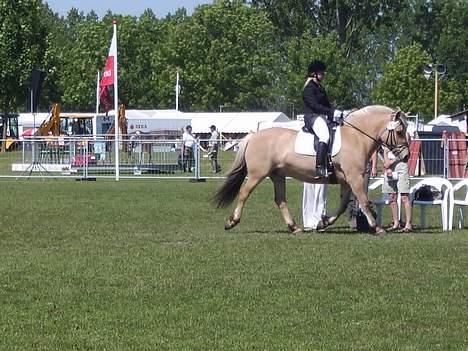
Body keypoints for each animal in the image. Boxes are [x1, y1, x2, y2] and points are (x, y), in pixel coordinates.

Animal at [213, 106, 410, 235]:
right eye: (400, 131)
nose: (407, 157)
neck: (356, 137)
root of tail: (253, 136)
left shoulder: (347, 180)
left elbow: (343, 205)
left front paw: (323, 223)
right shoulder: (354, 177)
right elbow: (363, 201)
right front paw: (377, 228)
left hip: (277, 176)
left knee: (280, 200)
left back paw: (294, 228)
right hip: (257, 174)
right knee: (244, 194)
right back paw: (231, 222)